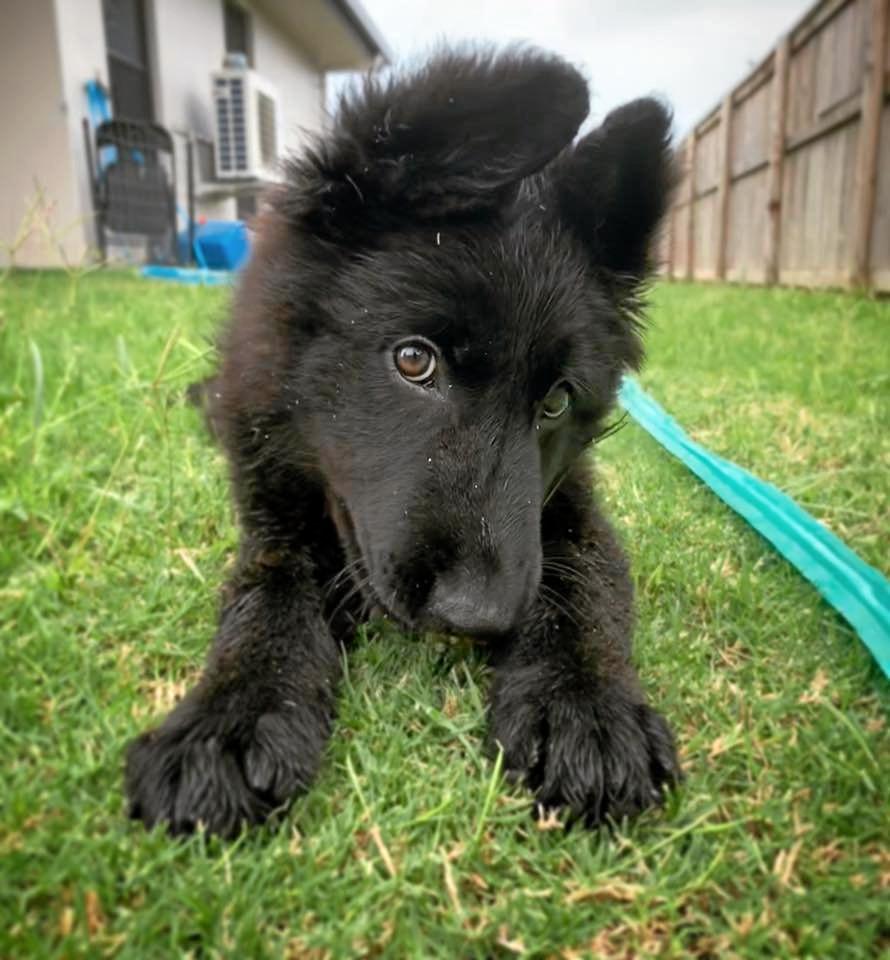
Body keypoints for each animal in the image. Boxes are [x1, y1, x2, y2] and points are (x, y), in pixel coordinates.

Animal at [126, 48, 680, 836]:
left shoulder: (569, 507)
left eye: (555, 401)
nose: (478, 618)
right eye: (414, 360)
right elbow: (265, 599)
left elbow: (584, 585)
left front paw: (586, 708)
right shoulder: (274, 517)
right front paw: (228, 719)